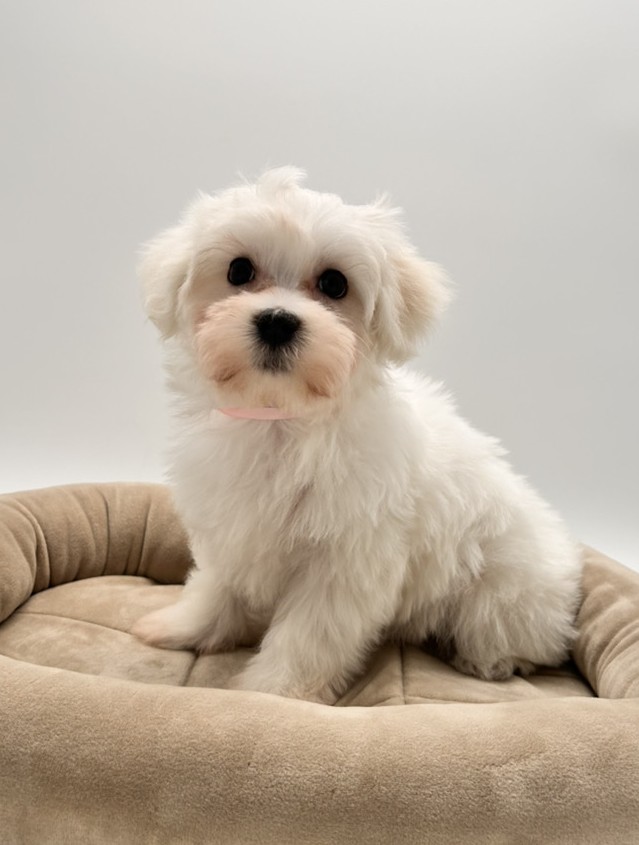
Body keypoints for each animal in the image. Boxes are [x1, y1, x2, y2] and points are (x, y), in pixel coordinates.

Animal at [132, 167, 582, 703]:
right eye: (238, 272)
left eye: (334, 283)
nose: (277, 321)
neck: (281, 419)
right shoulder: (231, 526)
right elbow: (216, 585)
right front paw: (185, 627)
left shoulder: (345, 561)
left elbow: (308, 635)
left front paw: (275, 693)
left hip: (502, 593)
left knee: (511, 634)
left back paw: (489, 660)